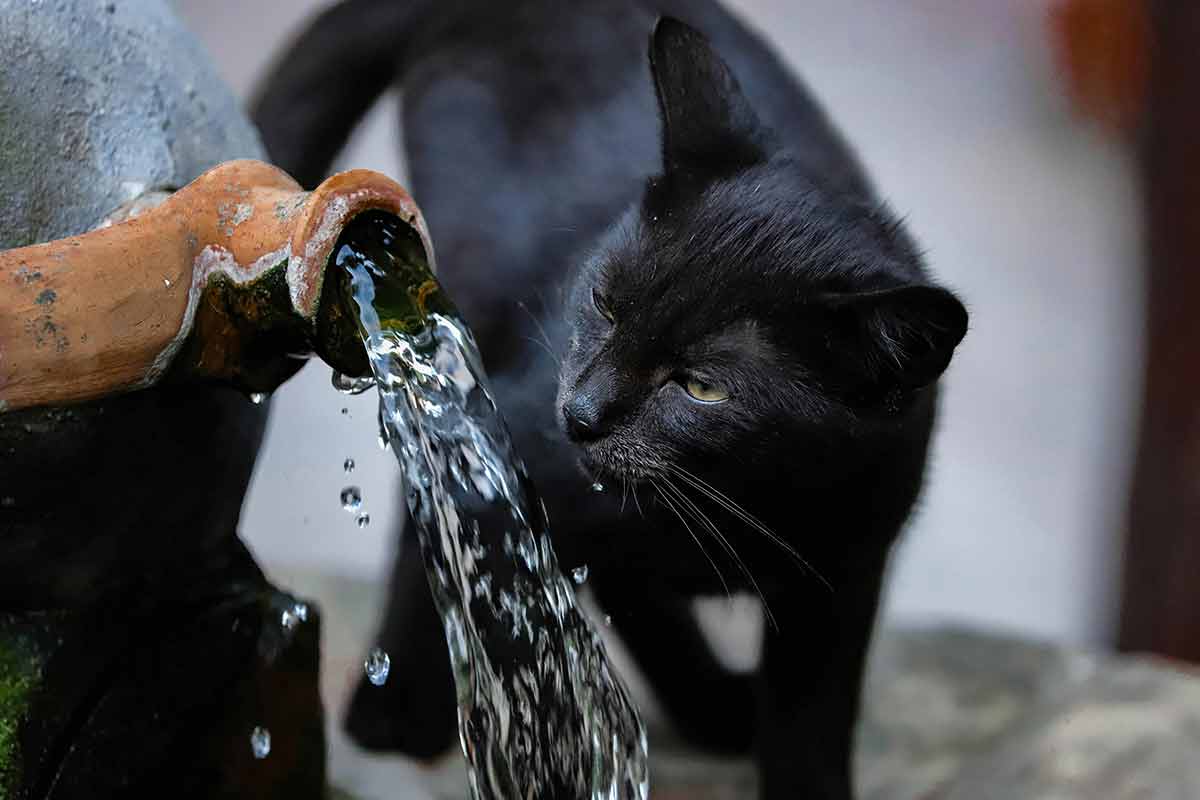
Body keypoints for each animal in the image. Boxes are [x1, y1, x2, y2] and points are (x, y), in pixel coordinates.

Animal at [250, 3, 964, 796]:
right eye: (605, 304)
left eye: (702, 386)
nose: (582, 413)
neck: (734, 503)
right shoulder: (513, 451)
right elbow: (464, 566)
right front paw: (417, 720)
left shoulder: (843, 578)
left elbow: (811, 728)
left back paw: (714, 706)